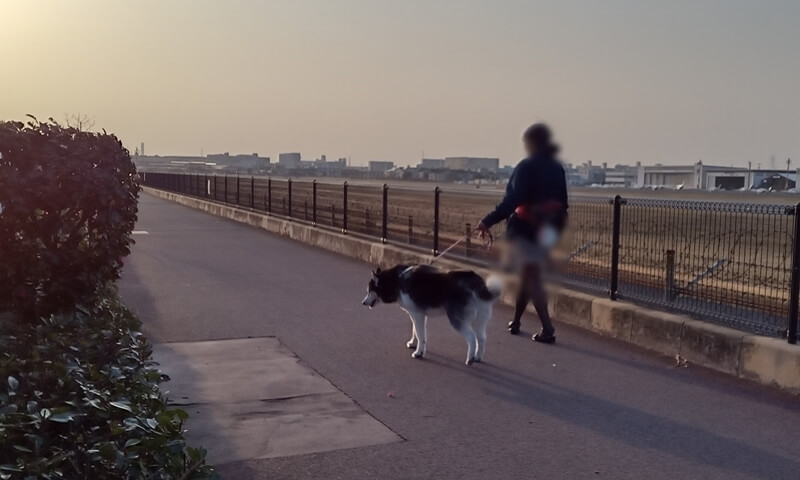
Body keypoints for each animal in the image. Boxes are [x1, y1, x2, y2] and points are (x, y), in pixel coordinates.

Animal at [360, 266, 500, 364]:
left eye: (369, 291)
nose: (363, 303)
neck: (397, 280)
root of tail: (475, 280)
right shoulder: (417, 314)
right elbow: (415, 331)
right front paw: (413, 344)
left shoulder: (417, 314)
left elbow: (420, 334)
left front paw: (419, 353)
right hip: (480, 320)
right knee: (481, 338)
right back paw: (478, 357)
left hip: (456, 320)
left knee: (471, 337)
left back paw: (470, 359)